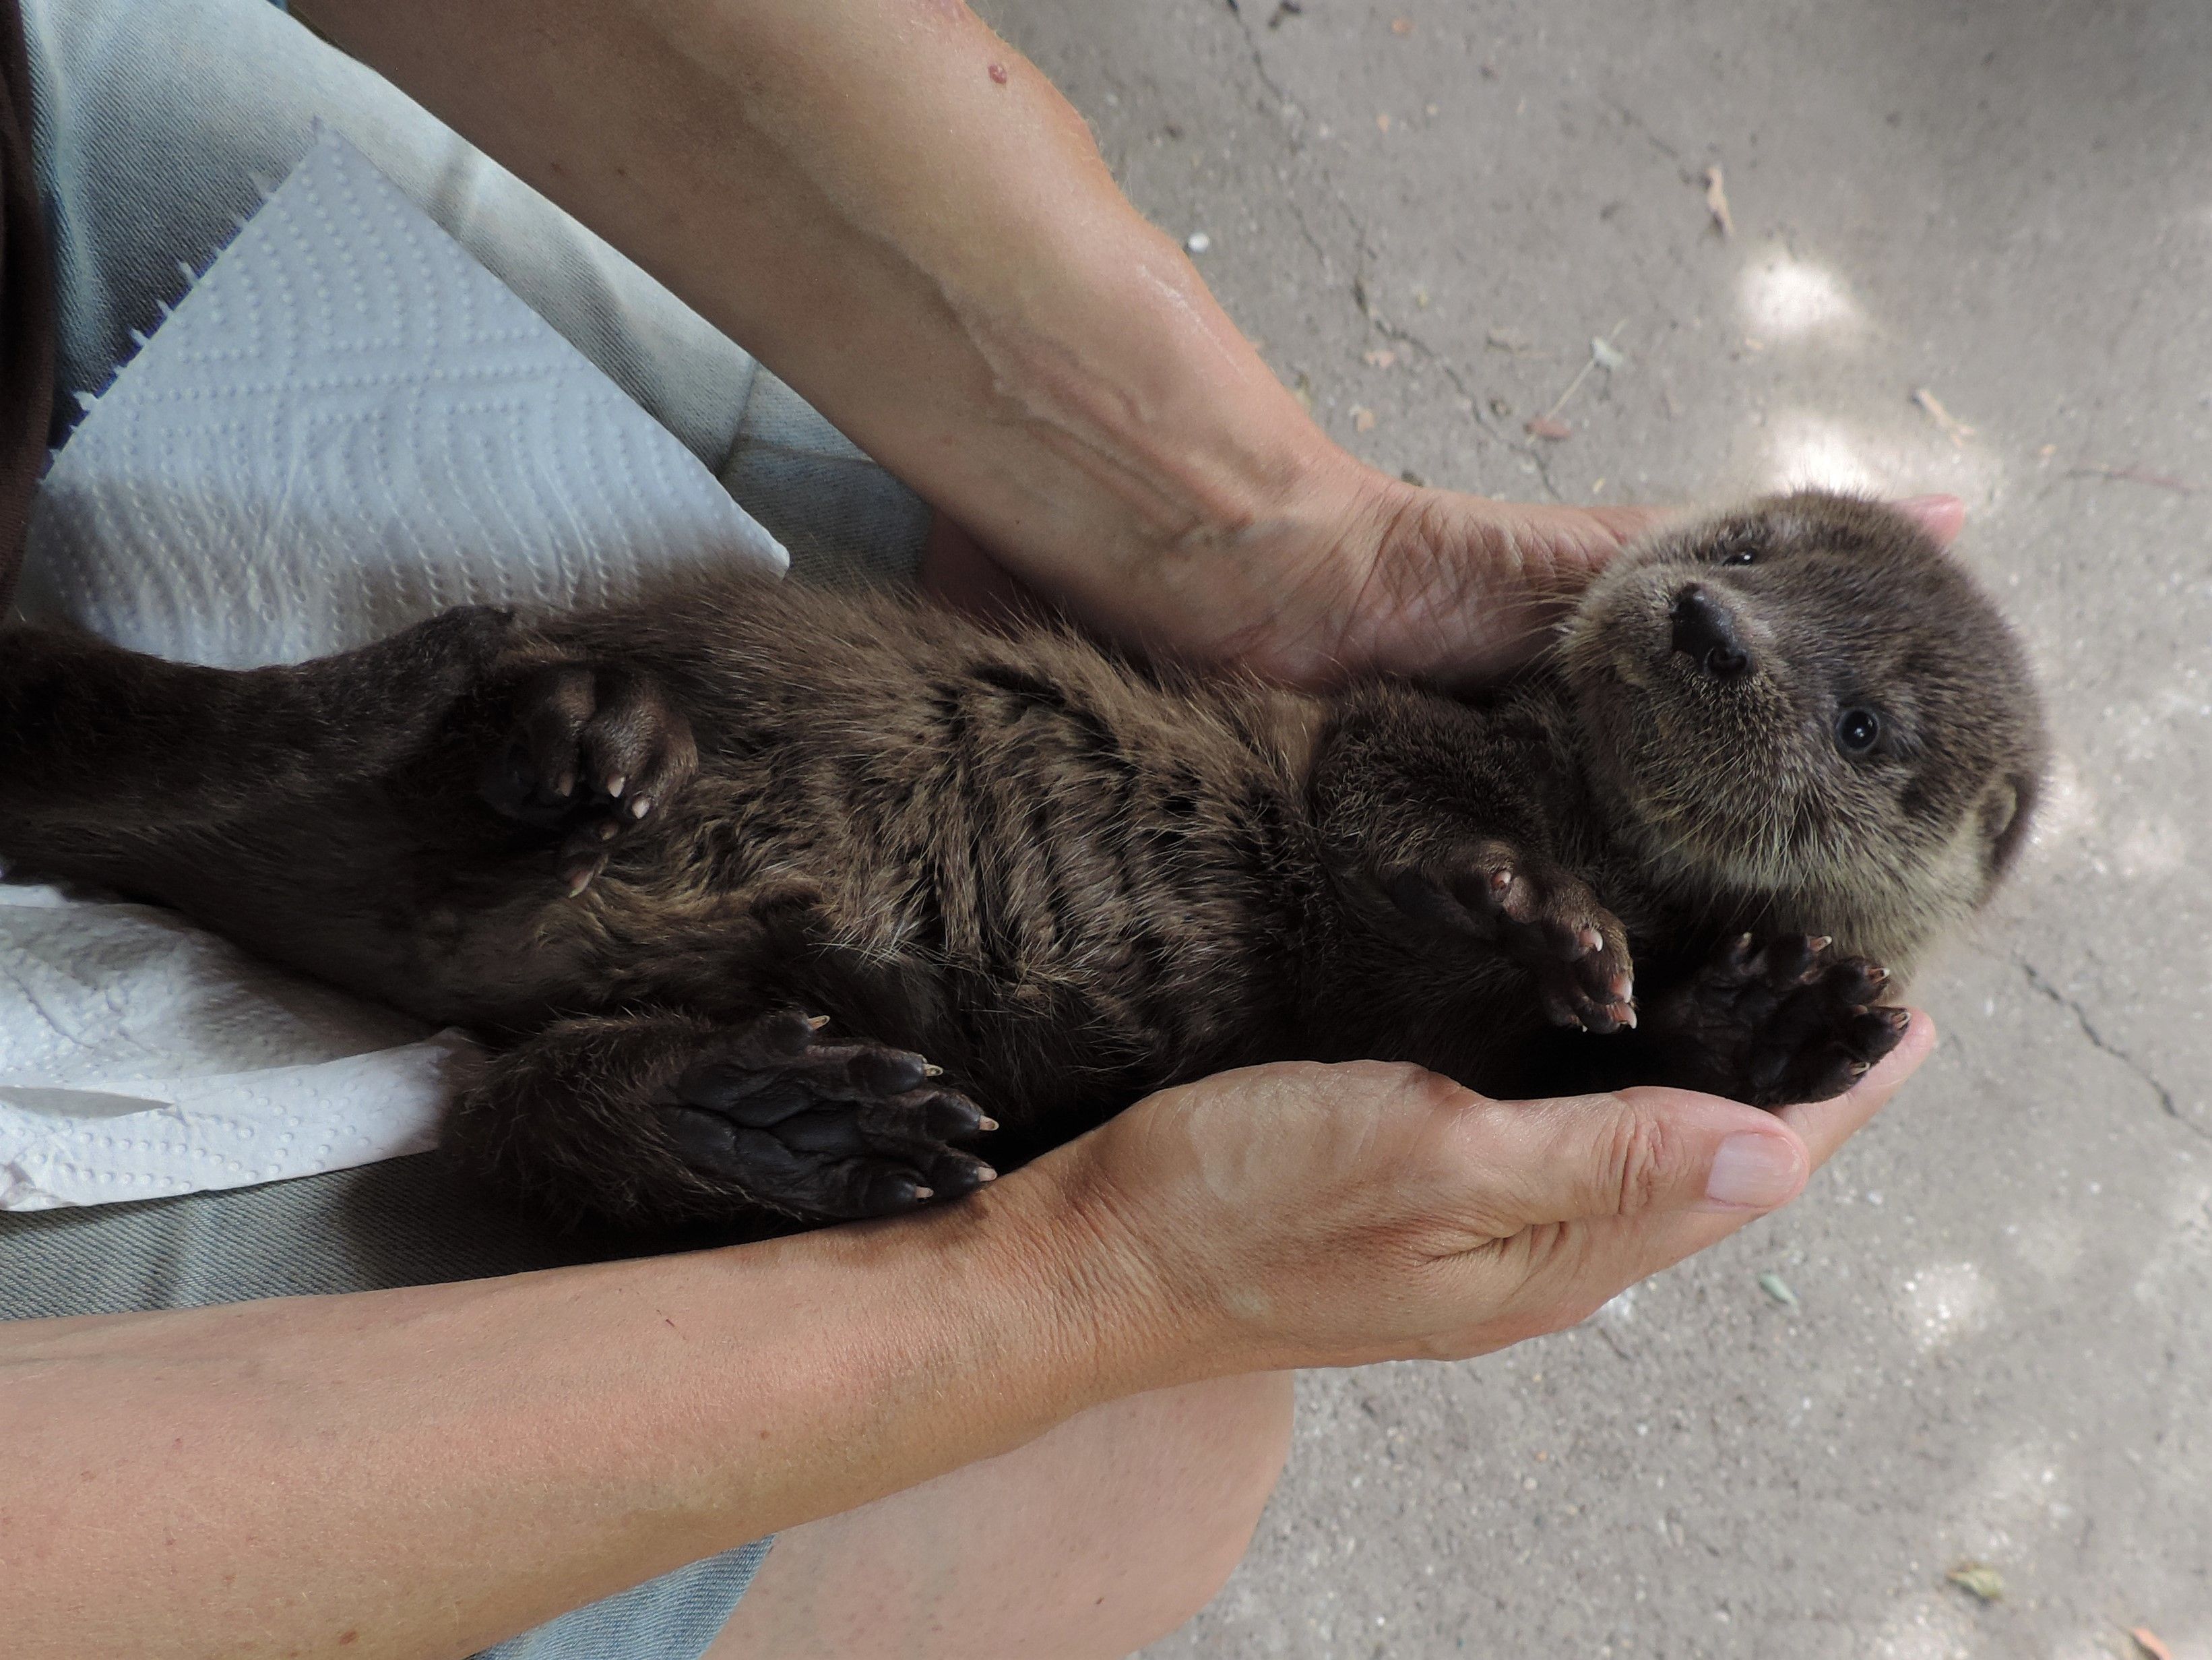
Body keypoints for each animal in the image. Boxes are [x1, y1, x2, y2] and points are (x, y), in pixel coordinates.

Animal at [0, 490, 2044, 1232]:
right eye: (1750, 541)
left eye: (1870, 721)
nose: (1704, 618)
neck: (1570, 793)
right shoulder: (1394, 732)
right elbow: (1389, 802)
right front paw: (1543, 904)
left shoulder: (1499, 1061)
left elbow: (1593, 1046)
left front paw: (1780, 1020)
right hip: (618, 667)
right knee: (504, 701)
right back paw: (590, 737)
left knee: (526, 1120)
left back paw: (793, 1120)